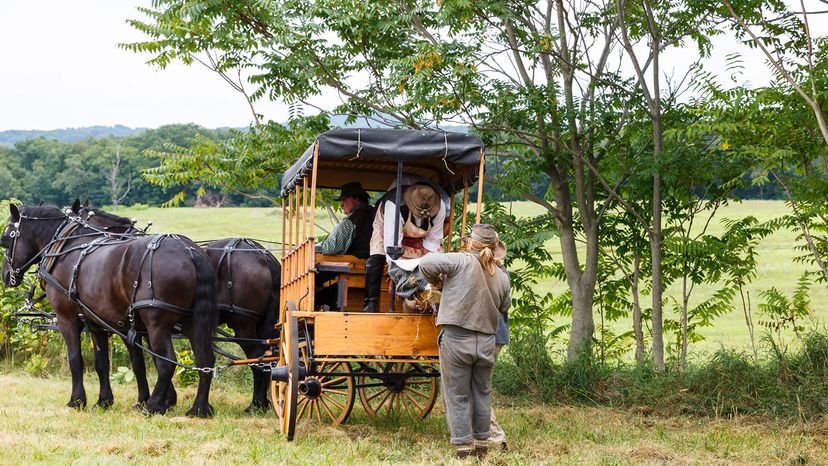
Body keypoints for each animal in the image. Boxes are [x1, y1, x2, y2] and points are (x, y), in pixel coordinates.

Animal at [0, 203, 218, 416]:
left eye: (6, 239)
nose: (5, 275)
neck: (65, 248)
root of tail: (189, 251)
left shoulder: (67, 318)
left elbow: (75, 359)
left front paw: (77, 401)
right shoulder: (100, 323)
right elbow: (107, 363)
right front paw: (105, 401)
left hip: (157, 324)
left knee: (167, 362)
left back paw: (154, 405)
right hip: (193, 321)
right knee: (205, 359)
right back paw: (199, 408)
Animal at [81, 204, 282, 412]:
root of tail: (263, 255)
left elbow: (147, 361)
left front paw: (157, 401)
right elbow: (154, 358)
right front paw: (168, 400)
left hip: (242, 323)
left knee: (258, 357)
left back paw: (257, 404)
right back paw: (261, 403)